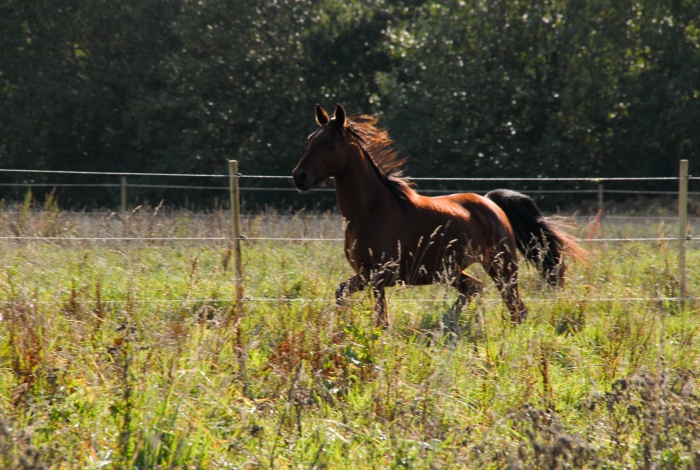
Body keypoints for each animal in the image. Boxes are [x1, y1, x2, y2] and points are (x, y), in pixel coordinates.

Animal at [292, 103, 584, 326]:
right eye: (309, 139)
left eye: (330, 142)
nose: (299, 176)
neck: (370, 210)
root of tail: (491, 203)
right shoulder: (367, 275)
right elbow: (343, 294)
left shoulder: (379, 276)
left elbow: (379, 319)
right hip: (453, 271)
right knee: (475, 288)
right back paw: (448, 323)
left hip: (502, 266)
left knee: (516, 308)